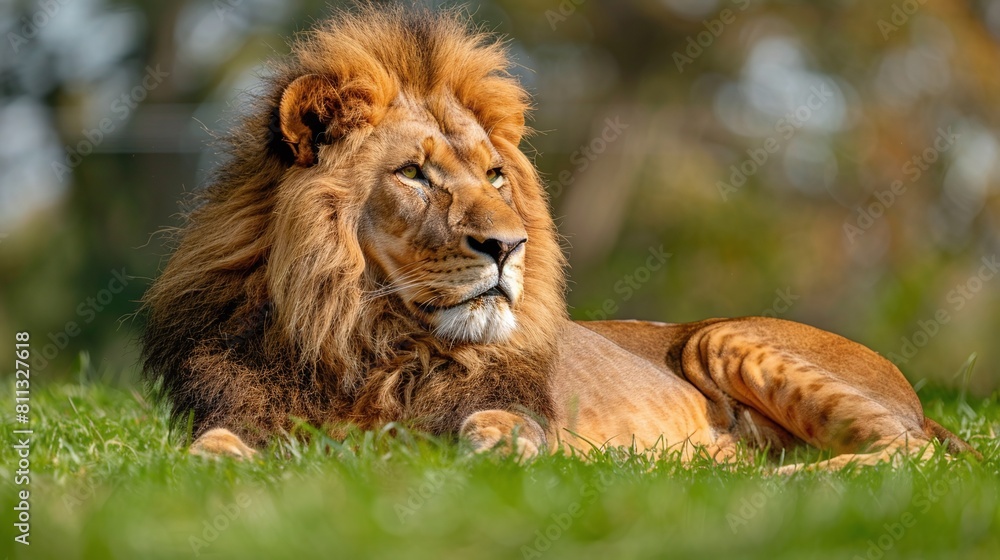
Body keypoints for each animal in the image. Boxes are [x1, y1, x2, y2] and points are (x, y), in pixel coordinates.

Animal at [141, 5, 979, 471]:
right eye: (414, 173)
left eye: (494, 175)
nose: (508, 247)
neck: (368, 343)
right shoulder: (242, 414)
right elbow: (208, 451)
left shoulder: (510, 406)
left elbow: (496, 425)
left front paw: (486, 452)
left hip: (726, 337)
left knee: (910, 456)